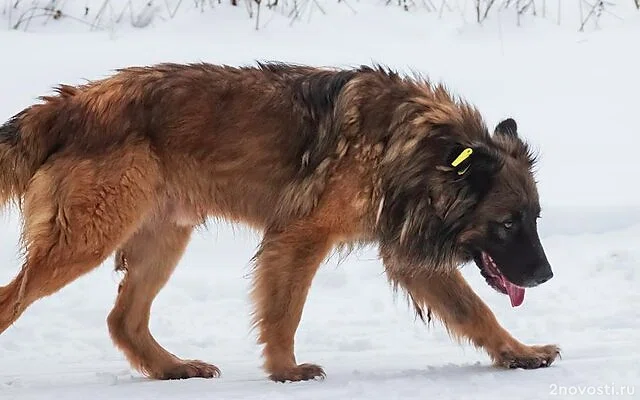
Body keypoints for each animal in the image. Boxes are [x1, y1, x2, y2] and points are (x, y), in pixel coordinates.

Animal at [0, 61, 560, 382]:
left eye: (534, 218)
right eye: (508, 223)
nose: (547, 276)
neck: (416, 149)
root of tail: (68, 105)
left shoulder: (410, 259)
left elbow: (476, 314)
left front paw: (519, 353)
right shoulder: (300, 238)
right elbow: (285, 312)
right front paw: (286, 370)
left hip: (164, 239)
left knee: (124, 320)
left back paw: (172, 368)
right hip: (86, 241)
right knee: (16, 299)